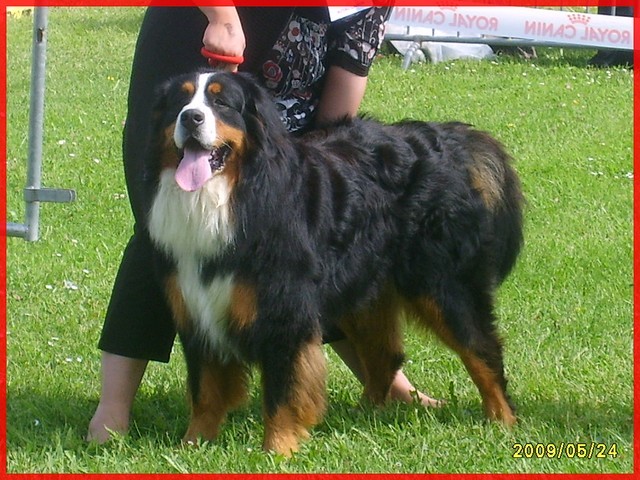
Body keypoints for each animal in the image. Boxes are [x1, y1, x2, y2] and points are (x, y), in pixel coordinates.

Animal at [145, 69, 524, 456]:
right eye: (180, 101)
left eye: (221, 102)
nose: (191, 117)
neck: (228, 196)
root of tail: (448, 137)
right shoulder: (197, 306)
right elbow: (205, 390)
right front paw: (193, 445)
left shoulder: (284, 311)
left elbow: (282, 389)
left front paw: (277, 449)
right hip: (365, 288)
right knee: (385, 355)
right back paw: (364, 415)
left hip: (443, 285)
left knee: (481, 348)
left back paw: (503, 421)